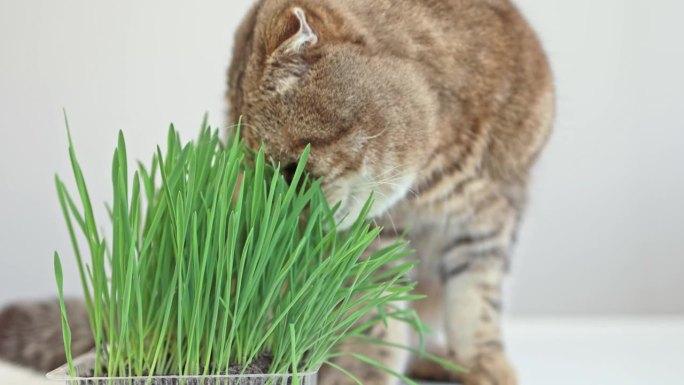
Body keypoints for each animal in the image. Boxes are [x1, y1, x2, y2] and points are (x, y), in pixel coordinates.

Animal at [0, 0, 552, 384]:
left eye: (289, 172)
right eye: (259, 183)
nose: (293, 224)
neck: (436, 169)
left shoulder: (492, 217)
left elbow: (476, 305)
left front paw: (483, 367)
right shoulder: (380, 240)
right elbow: (378, 322)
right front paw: (369, 374)